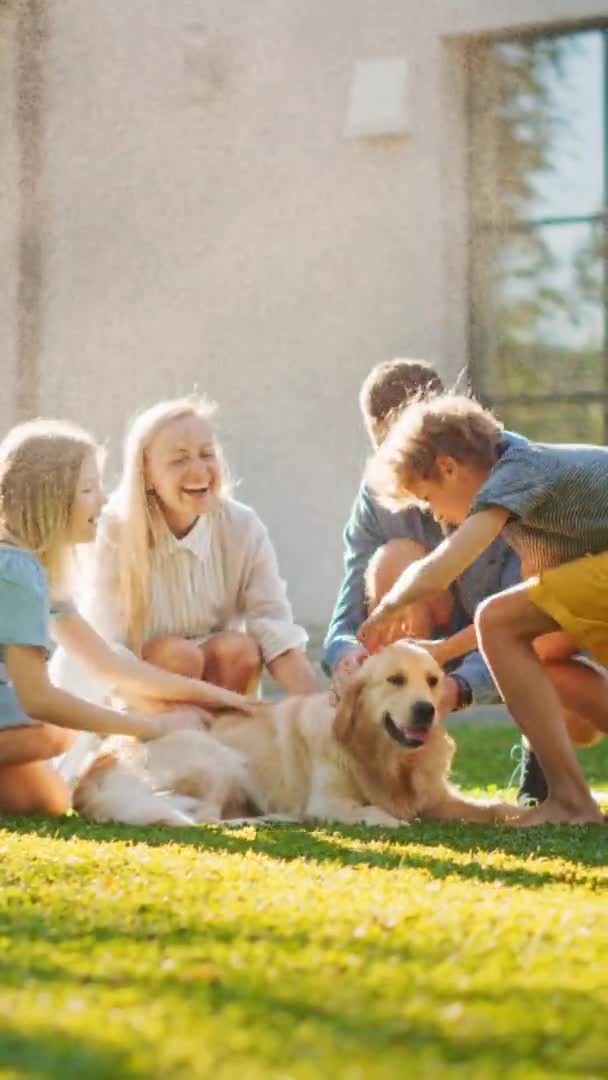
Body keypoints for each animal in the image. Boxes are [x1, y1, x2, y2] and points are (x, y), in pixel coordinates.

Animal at [75, 639, 514, 825]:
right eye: (395, 680)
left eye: (434, 681)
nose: (425, 710)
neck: (384, 758)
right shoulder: (329, 802)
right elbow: (378, 813)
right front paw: (391, 819)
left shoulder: (438, 798)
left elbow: (493, 808)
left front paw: (517, 813)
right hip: (217, 760)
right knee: (206, 819)